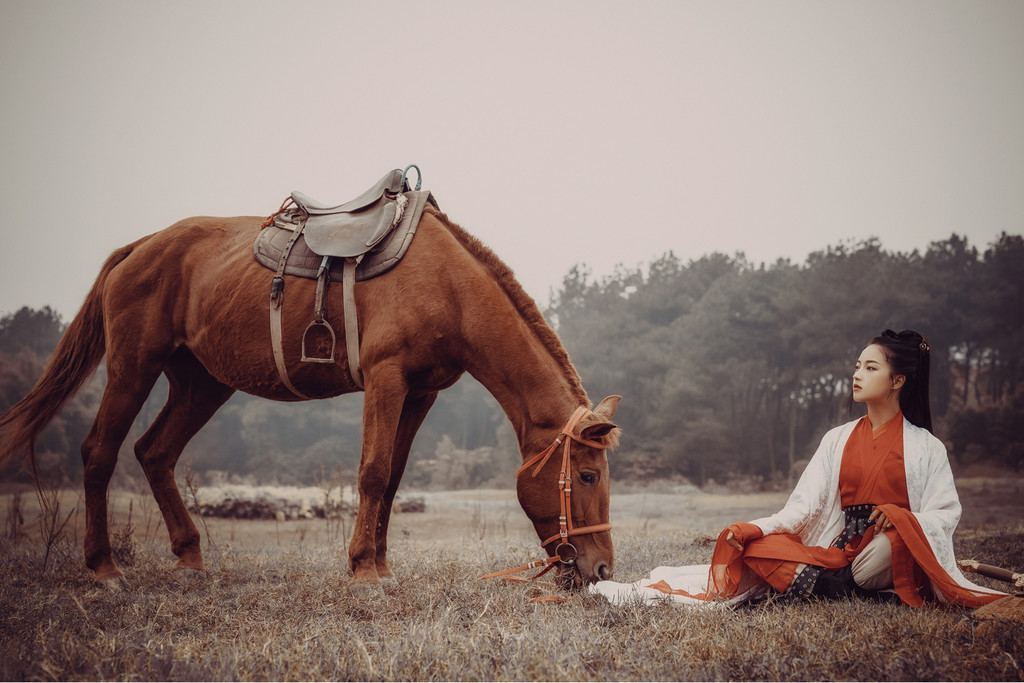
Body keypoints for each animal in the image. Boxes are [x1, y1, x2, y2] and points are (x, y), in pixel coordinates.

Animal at [0, 198, 618, 593]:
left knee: (154, 453)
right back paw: (104, 568)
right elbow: (372, 472)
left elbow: (393, 478)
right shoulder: (387, 378)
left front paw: (381, 565)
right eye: (587, 475)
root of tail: (140, 247)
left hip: (201, 385)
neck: (448, 286)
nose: (602, 570)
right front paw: (363, 570)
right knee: (99, 453)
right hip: (133, 369)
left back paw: (190, 556)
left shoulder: (420, 393)